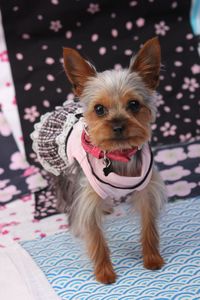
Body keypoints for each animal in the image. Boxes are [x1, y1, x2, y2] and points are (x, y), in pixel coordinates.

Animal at [31, 37, 167, 284]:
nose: (118, 126)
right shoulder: (86, 197)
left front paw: (152, 258)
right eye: (99, 109)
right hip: (63, 174)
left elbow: (148, 225)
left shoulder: (147, 191)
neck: (118, 154)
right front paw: (105, 273)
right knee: (67, 201)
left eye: (134, 104)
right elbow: (95, 237)